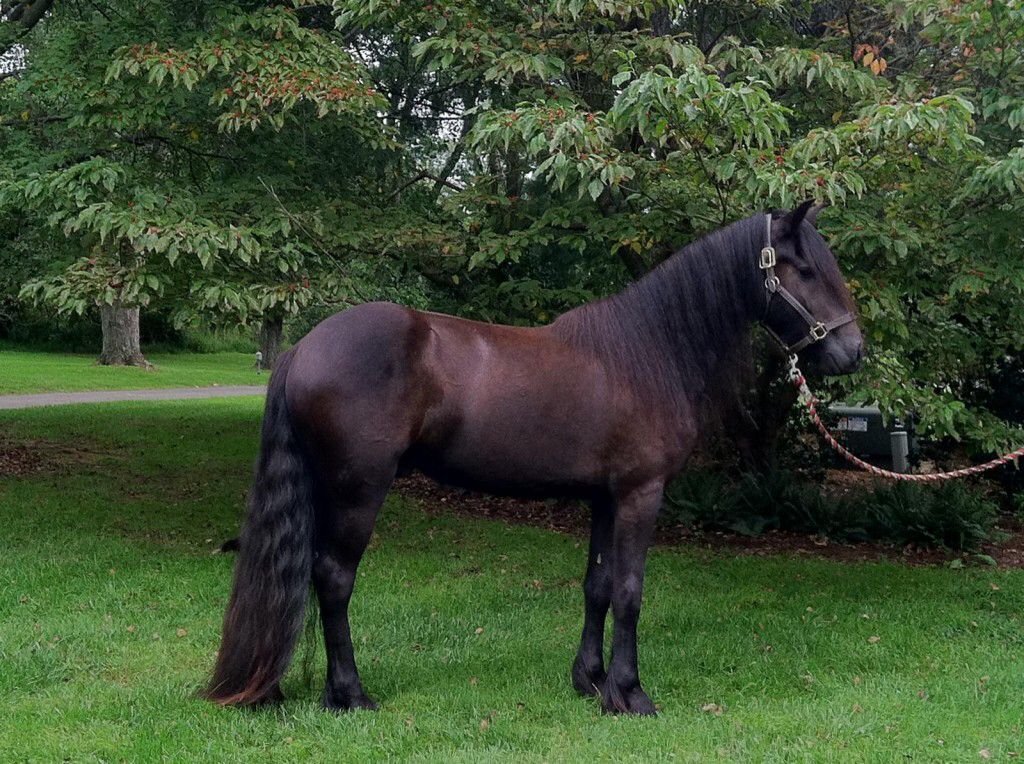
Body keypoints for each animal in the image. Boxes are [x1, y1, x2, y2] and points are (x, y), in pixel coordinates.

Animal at [202, 201, 863, 715]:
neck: (647, 353)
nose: (853, 352)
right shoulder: (640, 494)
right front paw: (630, 693)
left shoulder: (605, 498)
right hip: (357, 491)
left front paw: (590, 682)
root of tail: (304, 347)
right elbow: (630, 591)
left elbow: (598, 586)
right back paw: (351, 694)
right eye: (805, 269)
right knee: (334, 579)